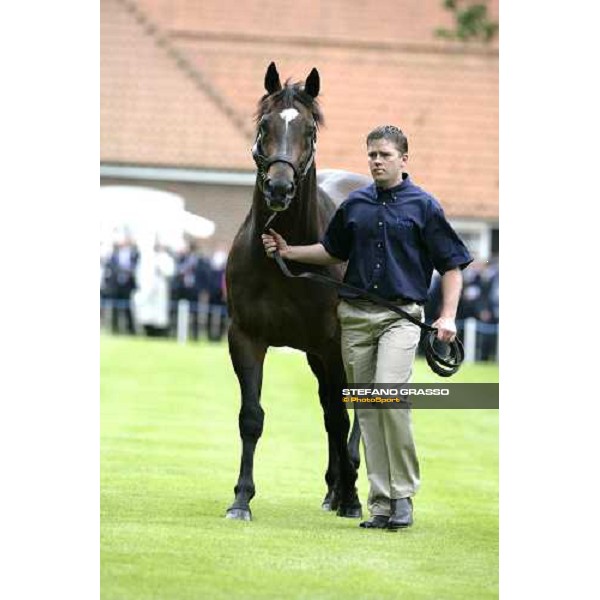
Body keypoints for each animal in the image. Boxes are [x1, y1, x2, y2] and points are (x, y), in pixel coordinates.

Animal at [223, 62, 368, 520]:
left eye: (309, 129)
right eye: (264, 125)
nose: (279, 188)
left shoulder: (334, 344)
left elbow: (340, 420)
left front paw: (352, 500)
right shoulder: (246, 337)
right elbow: (251, 417)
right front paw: (241, 499)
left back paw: (347, 491)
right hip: (316, 357)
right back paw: (332, 488)